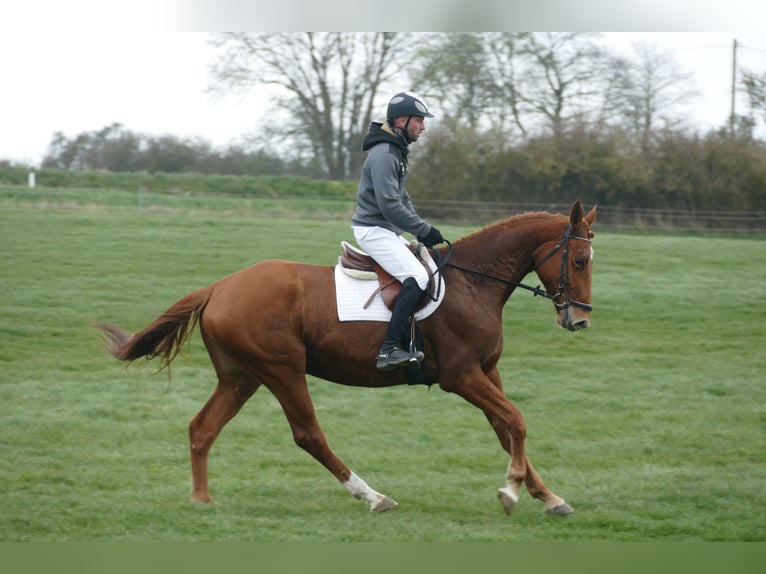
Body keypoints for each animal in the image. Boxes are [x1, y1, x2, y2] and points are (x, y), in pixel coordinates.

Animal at [96, 200, 597, 517]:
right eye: (579, 260)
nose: (580, 320)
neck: (474, 283)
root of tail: (219, 286)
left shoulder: (487, 372)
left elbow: (505, 429)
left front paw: (547, 496)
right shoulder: (462, 376)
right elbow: (516, 422)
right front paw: (511, 492)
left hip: (241, 377)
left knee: (202, 429)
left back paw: (202, 500)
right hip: (282, 371)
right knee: (308, 435)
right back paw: (372, 496)